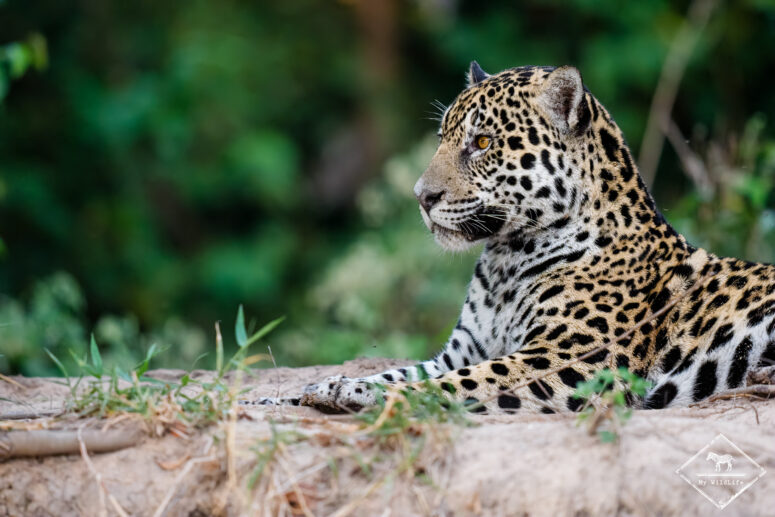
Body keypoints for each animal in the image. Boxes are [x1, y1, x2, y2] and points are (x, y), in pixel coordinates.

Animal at [252, 62, 775, 414]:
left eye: (482, 143)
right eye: (442, 138)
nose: (421, 196)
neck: (506, 260)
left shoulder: (572, 360)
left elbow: (460, 384)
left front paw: (361, 392)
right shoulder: (461, 351)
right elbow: (411, 370)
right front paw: (306, 392)